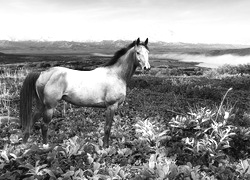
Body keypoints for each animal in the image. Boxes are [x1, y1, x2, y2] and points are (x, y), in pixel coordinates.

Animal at [19, 37, 149, 147]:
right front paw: (105, 148)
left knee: (32, 120)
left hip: (41, 104)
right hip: (49, 107)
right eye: (138, 52)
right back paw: (45, 146)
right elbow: (107, 128)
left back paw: (24, 145)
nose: (147, 68)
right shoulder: (111, 106)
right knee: (44, 125)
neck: (116, 74)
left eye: (148, 52)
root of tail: (43, 73)